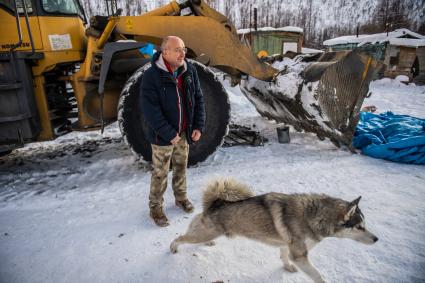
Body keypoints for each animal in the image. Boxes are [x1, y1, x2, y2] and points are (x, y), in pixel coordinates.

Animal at [169, 179, 378, 282]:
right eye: (359, 227)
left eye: (365, 224)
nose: (376, 239)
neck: (314, 217)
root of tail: (217, 202)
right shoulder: (300, 255)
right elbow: (318, 275)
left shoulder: (287, 244)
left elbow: (284, 256)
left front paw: (287, 267)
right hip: (203, 232)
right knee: (180, 237)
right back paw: (173, 248)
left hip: (208, 231)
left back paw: (208, 242)